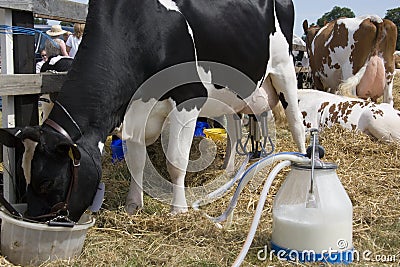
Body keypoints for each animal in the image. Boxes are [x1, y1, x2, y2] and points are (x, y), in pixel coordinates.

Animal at [0, 0, 304, 222]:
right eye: (24, 177)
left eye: (46, 182)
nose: (33, 221)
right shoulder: (135, 113)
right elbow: (136, 161)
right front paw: (133, 205)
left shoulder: (188, 97)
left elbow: (176, 161)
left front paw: (178, 209)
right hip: (229, 92)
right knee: (233, 126)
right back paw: (229, 170)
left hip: (285, 70)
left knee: (296, 123)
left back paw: (301, 162)